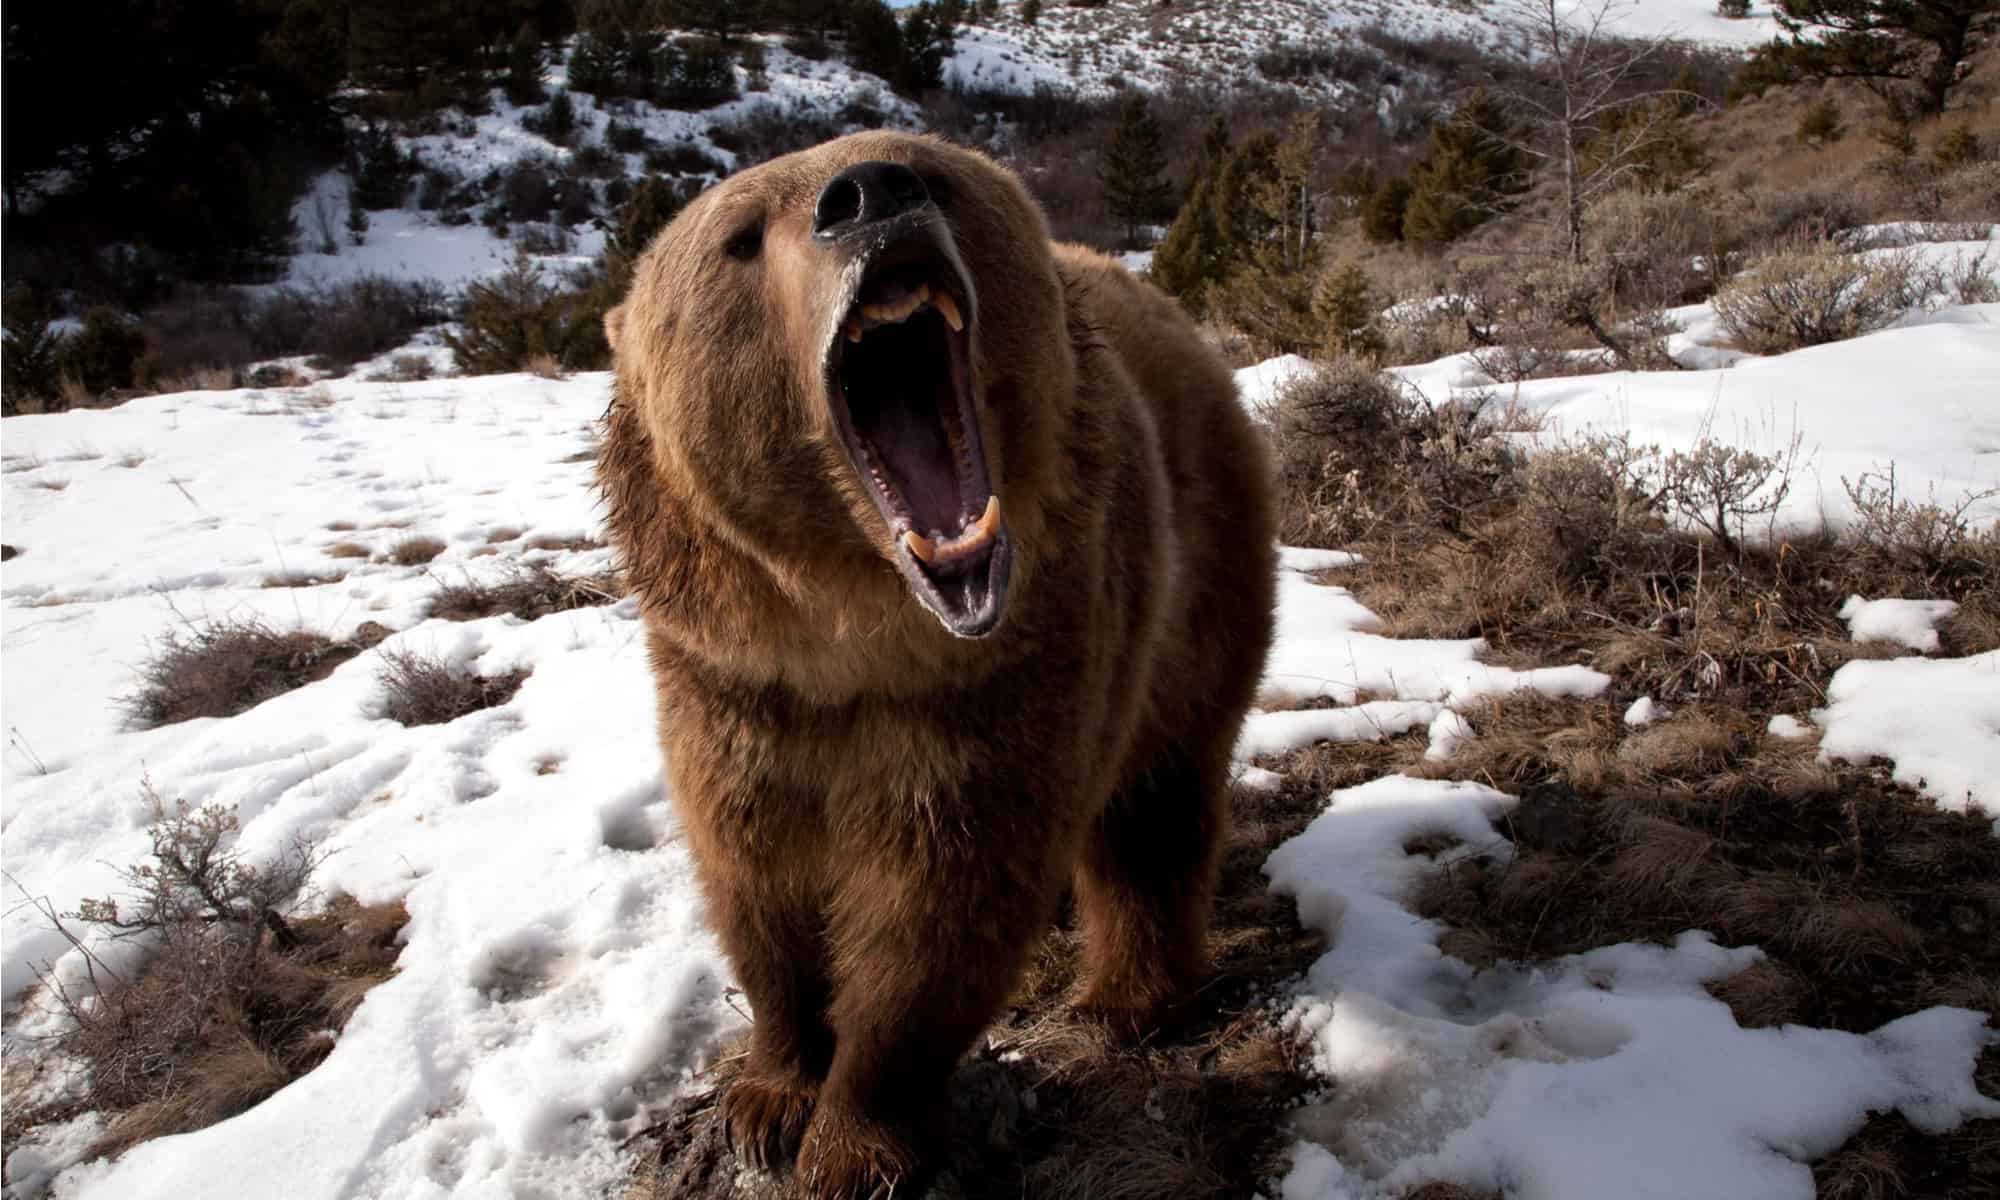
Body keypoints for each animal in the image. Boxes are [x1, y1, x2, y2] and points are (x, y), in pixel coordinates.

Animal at [597, 131, 1276, 1199]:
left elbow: (939, 909)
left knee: (1155, 800)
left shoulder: (996, 683)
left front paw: (853, 1143)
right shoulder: (732, 686)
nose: (870, 195)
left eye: (931, 171)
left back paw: (1126, 998)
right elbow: (756, 881)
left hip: (1196, 574)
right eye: (739, 237)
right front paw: (768, 1097)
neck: (854, 637)